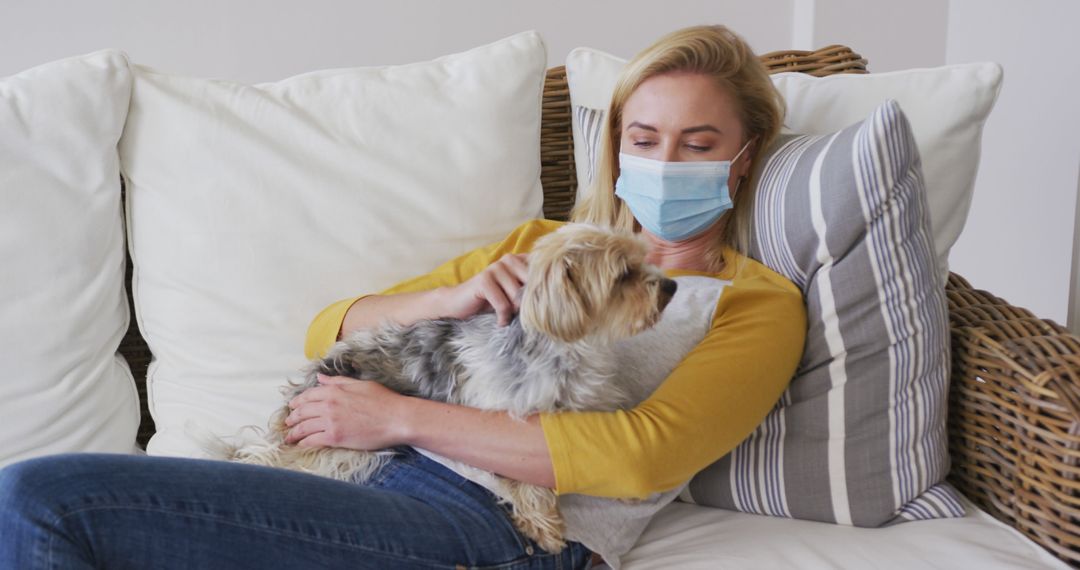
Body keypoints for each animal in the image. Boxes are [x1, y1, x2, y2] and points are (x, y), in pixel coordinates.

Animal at [199, 222, 678, 552]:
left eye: (644, 260)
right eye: (623, 275)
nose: (671, 285)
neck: (568, 349)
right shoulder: (509, 416)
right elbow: (527, 479)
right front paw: (543, 524)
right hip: (342, 451)